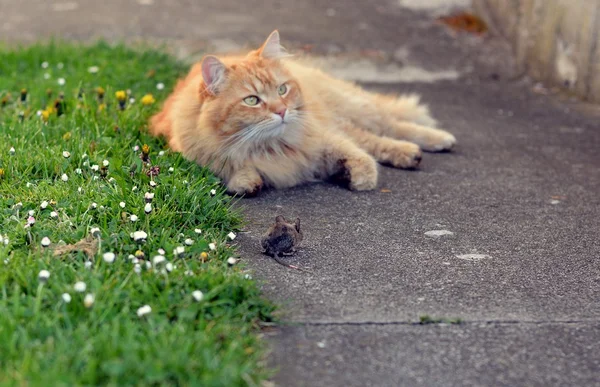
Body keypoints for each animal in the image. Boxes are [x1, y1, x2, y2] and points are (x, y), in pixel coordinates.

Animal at [150, 29, 454, 197]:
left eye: (282, 89)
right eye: (252, 100)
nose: (282, 110)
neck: (270, 148)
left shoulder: (322, 136)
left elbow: (358, 153)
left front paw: (360, 177)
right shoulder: (199, 155)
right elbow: (231, 170)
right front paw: (246, 181)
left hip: (351, 108)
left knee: (388, 127)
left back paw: (432, 143)